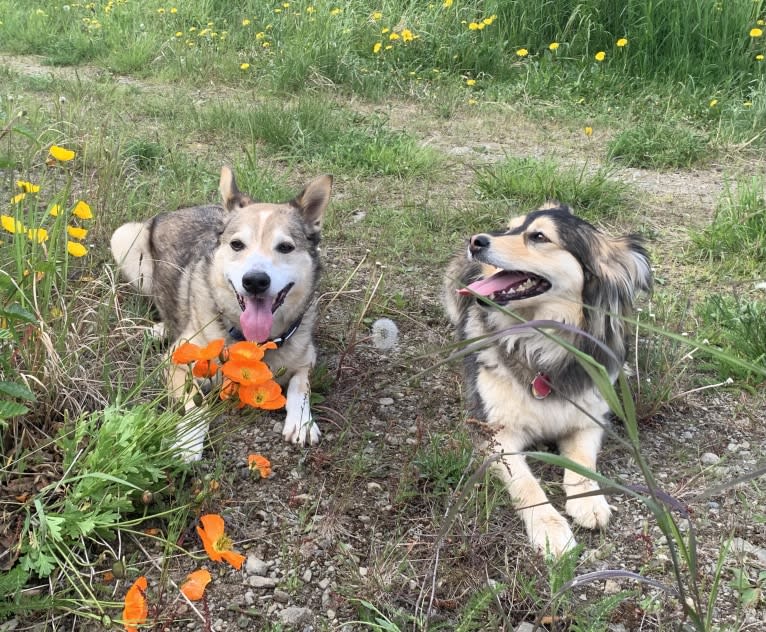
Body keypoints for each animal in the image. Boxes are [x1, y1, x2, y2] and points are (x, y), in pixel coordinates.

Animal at [113, 167, 332, 460]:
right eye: (237, 245)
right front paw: (189, 440)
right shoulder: (174, 362)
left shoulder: (306, 357)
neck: (254, 342)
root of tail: (183, 209)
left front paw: (302, 421)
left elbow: (301, 385)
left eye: (285, 247)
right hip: (125, 243)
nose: (255, 281)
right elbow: (198, 403)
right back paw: (159, 329)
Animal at [444, 205, 656, 556]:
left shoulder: (589, 420)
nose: (475, 240)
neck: (542, 344)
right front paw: (550, 530)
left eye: (540, 237)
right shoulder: (496, 434)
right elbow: (526, 484)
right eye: (510, 229)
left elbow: (583, 462)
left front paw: (590, 502)